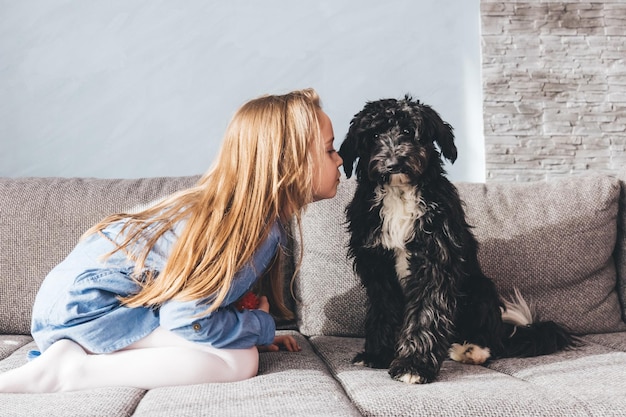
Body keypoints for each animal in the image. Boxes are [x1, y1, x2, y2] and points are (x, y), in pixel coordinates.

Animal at [338, 95, 572, 384]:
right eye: (374, 135)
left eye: (408, 130)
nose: (393, 163)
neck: (399, 194)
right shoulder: (377, 267)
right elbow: (384, 311)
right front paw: (378, 354)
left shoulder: (434, 262)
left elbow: (426, 314)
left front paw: (413, 366)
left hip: (480, 289)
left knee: (491, 339)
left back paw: (472, 350)